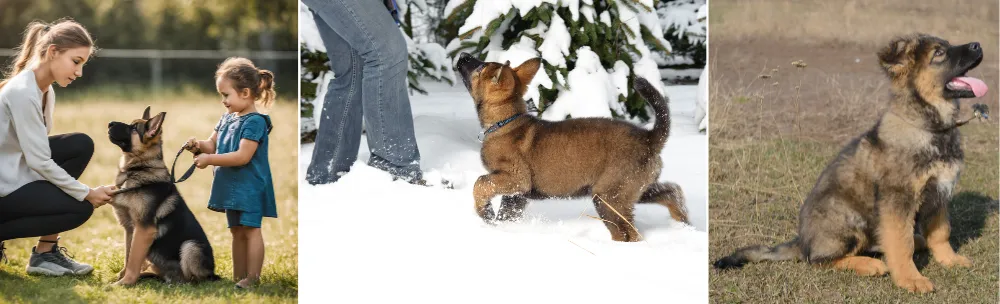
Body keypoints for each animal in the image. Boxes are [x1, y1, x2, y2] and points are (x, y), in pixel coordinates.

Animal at [107, 107, 219, 284]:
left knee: (193, 279)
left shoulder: (143, 229)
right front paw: (123, 278)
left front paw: (124, 283)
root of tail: (213, 274)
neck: (139, 168)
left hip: (190, 246)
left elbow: (133, 260)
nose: (110, 123)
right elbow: (128, 257)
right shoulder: (129, 228)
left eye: (134, 128)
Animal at [458, 52, 692, 242]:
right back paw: (683, 222)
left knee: (628, 233)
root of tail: (649, 137)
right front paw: (497, 223)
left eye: (480, 68)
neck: (505, 122)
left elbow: (480, 183)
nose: (463, 54)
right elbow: (505, 213)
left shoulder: (516, 178)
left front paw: (484, 212)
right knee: (672, 191)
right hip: (634, 188)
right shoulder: (517, 194)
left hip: (609, 197)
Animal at [716, 34, 988, 294]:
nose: (978, 44)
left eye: (948, 45)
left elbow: (941, 233)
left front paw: (949, 259)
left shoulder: (939, 194)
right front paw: (910, 279)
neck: (931, 127)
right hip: (846, 216)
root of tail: (802, 241)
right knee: (819, 260)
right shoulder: (898, 199)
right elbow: (902, 244)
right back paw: (869, 264)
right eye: (939, 53)